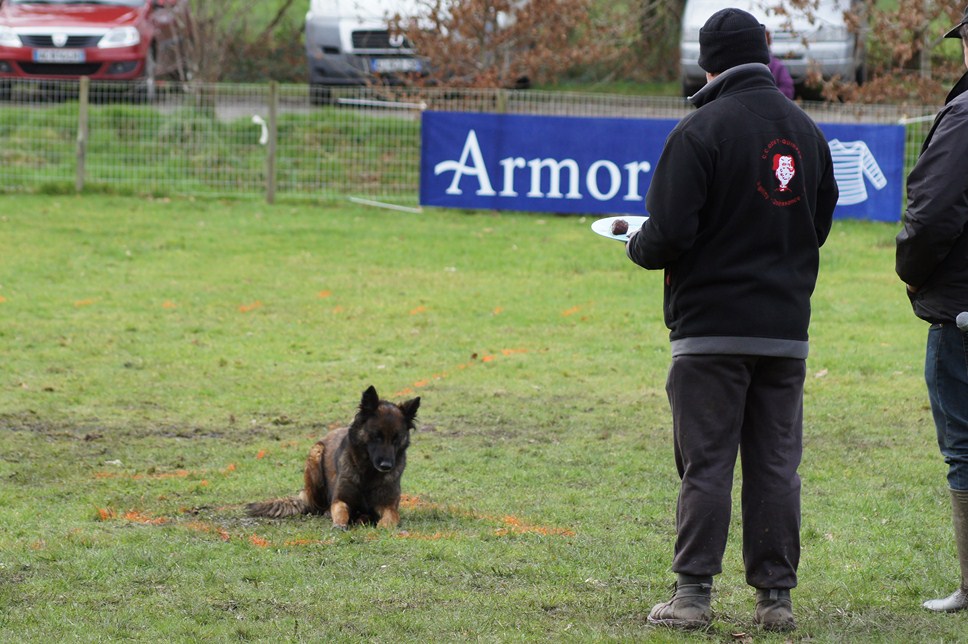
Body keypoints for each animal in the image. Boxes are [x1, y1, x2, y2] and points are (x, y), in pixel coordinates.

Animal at [246, 388, 420, 528]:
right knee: (317, 507)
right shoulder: (339, 500)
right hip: (316, 455)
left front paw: (382, 526)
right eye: (376, 436)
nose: (386, 465)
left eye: (396, 438)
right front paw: (340, 524)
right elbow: (341, 510)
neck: (368, 473)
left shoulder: (389, 505)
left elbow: (390, 518)